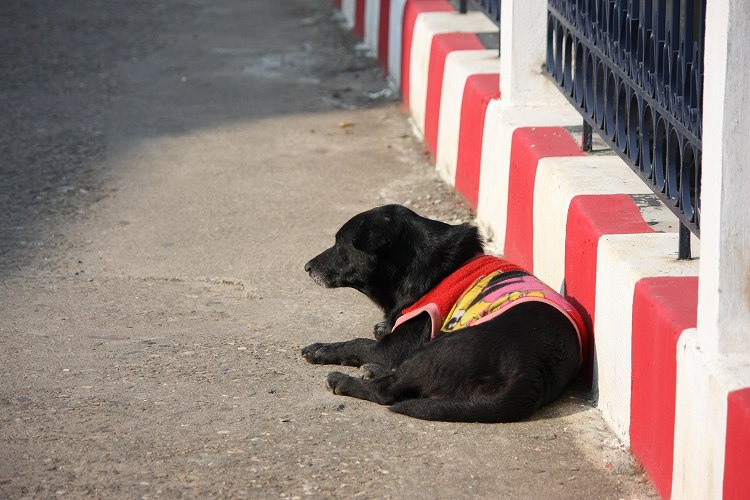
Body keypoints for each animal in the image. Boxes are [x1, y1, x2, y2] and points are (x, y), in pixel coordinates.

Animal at [302, 206, 584, 422]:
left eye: (340, 245)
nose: (307, 267)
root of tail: (531, 369)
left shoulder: (392, 348)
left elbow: (358, 343)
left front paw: (321, 349)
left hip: (436, 348)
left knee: (387, 391)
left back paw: (346, 380)